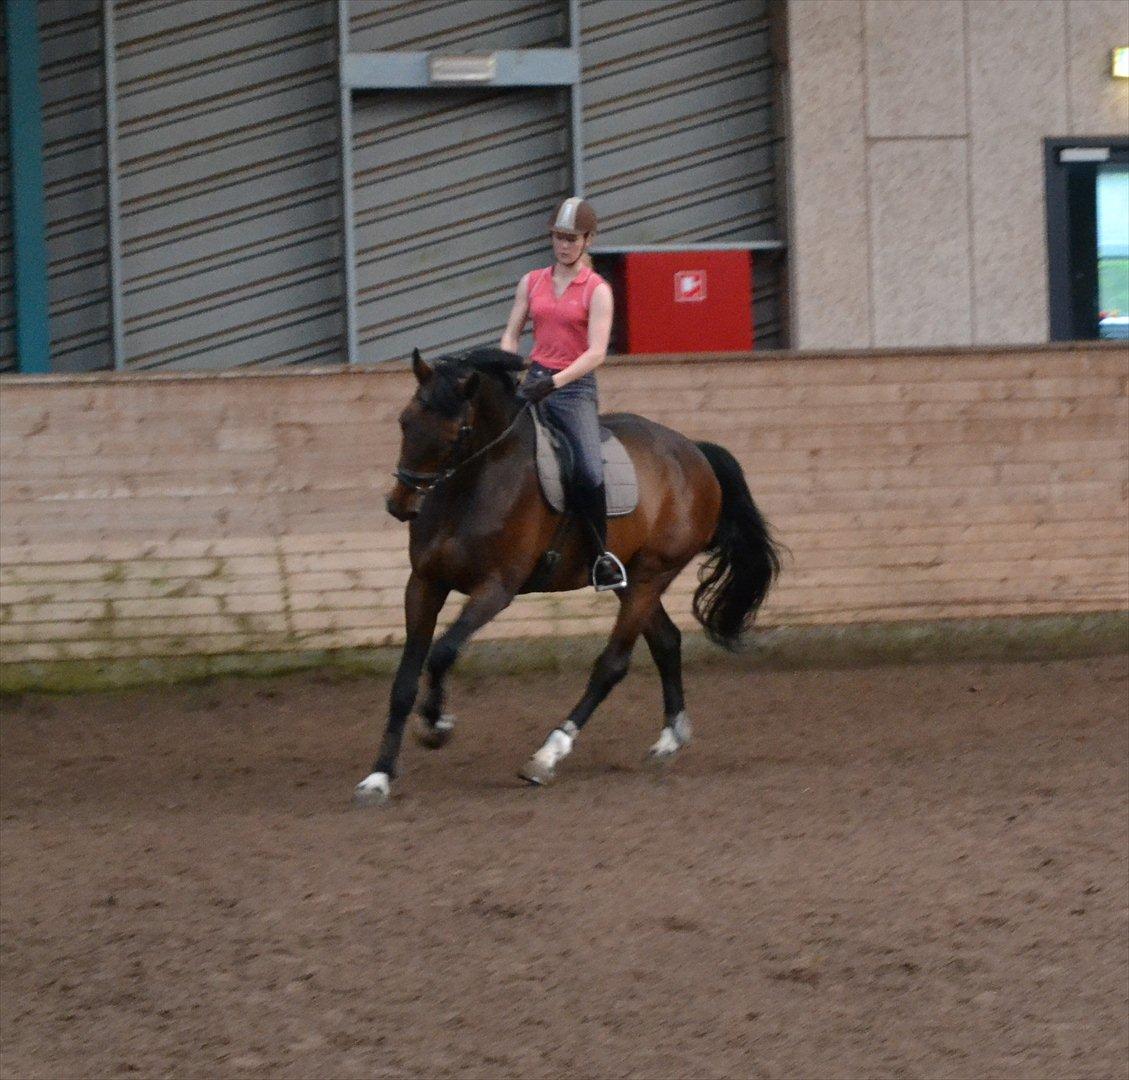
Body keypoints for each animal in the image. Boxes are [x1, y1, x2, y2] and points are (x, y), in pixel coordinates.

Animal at [356, 345, 781, 798]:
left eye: (457, 434)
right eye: (405, 421)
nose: (400, 505)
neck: (471, 485)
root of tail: (693, 452)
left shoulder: (496, 588)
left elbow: (443, 652)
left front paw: (437, 726)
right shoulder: (423, 584)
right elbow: (404, 681)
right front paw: (379, 775)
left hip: (651, 575)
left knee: (612, 665)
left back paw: (546, 755)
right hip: (631, 578)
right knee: (666, 641)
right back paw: (670, 737)